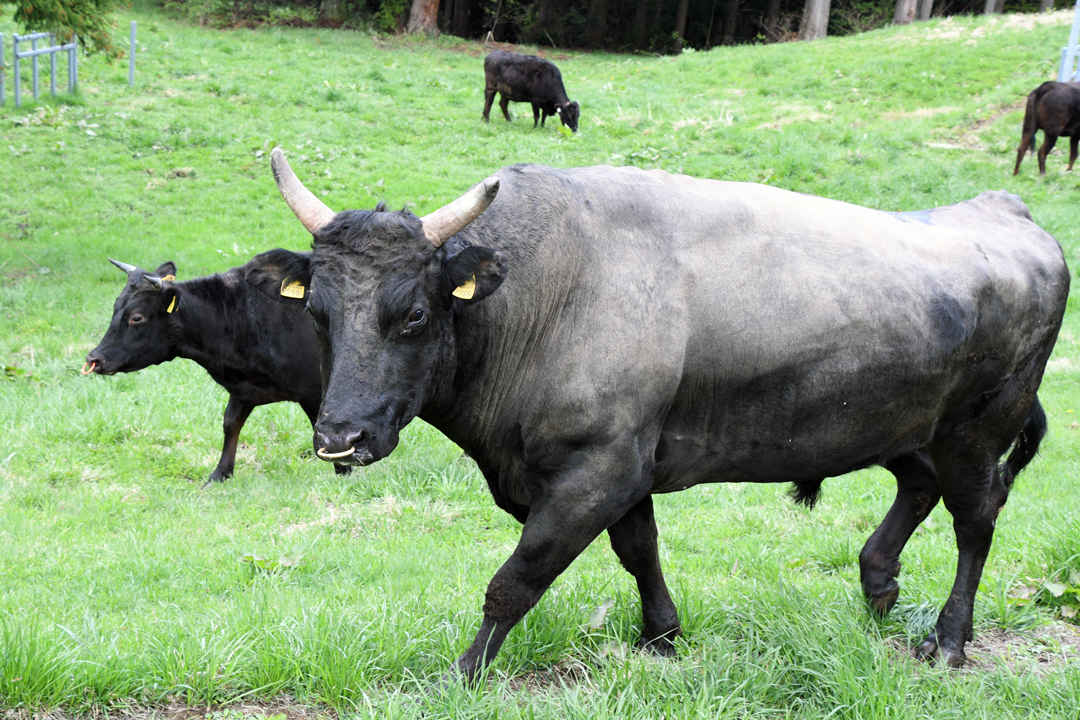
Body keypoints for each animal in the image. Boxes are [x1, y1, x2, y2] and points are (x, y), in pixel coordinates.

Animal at [84, 255, 345, 487]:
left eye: (136, 318)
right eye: (115, 308)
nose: (94, 358)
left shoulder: (312, 391)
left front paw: (343, 474)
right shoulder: (243, 389)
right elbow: (230, 424)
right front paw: (220, 474)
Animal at [248, 148, 1067, 686]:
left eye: (414, 314)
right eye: (317, 313)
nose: (340, 437)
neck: (543, 295)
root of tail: (1004, 208)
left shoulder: (598, 466)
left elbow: (518, 578)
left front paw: (463, 673)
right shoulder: (625, 462)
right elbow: (639, 550)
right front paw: (663, 638)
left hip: (979, 427)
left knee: (976, 516)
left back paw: (949, 641)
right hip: (897, 419)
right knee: (920, 485)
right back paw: (878, 586)